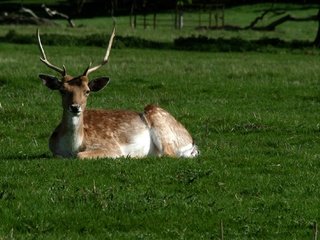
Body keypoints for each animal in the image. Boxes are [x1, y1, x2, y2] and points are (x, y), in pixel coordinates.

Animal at [37, 26, 198, 159]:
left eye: (87, 91)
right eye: (62, 90)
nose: (75, 107)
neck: (72, 147)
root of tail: (191, 141)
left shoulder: (111, 146)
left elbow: (81, 155)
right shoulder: (55, 152)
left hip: (158, 120)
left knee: (168, 154)